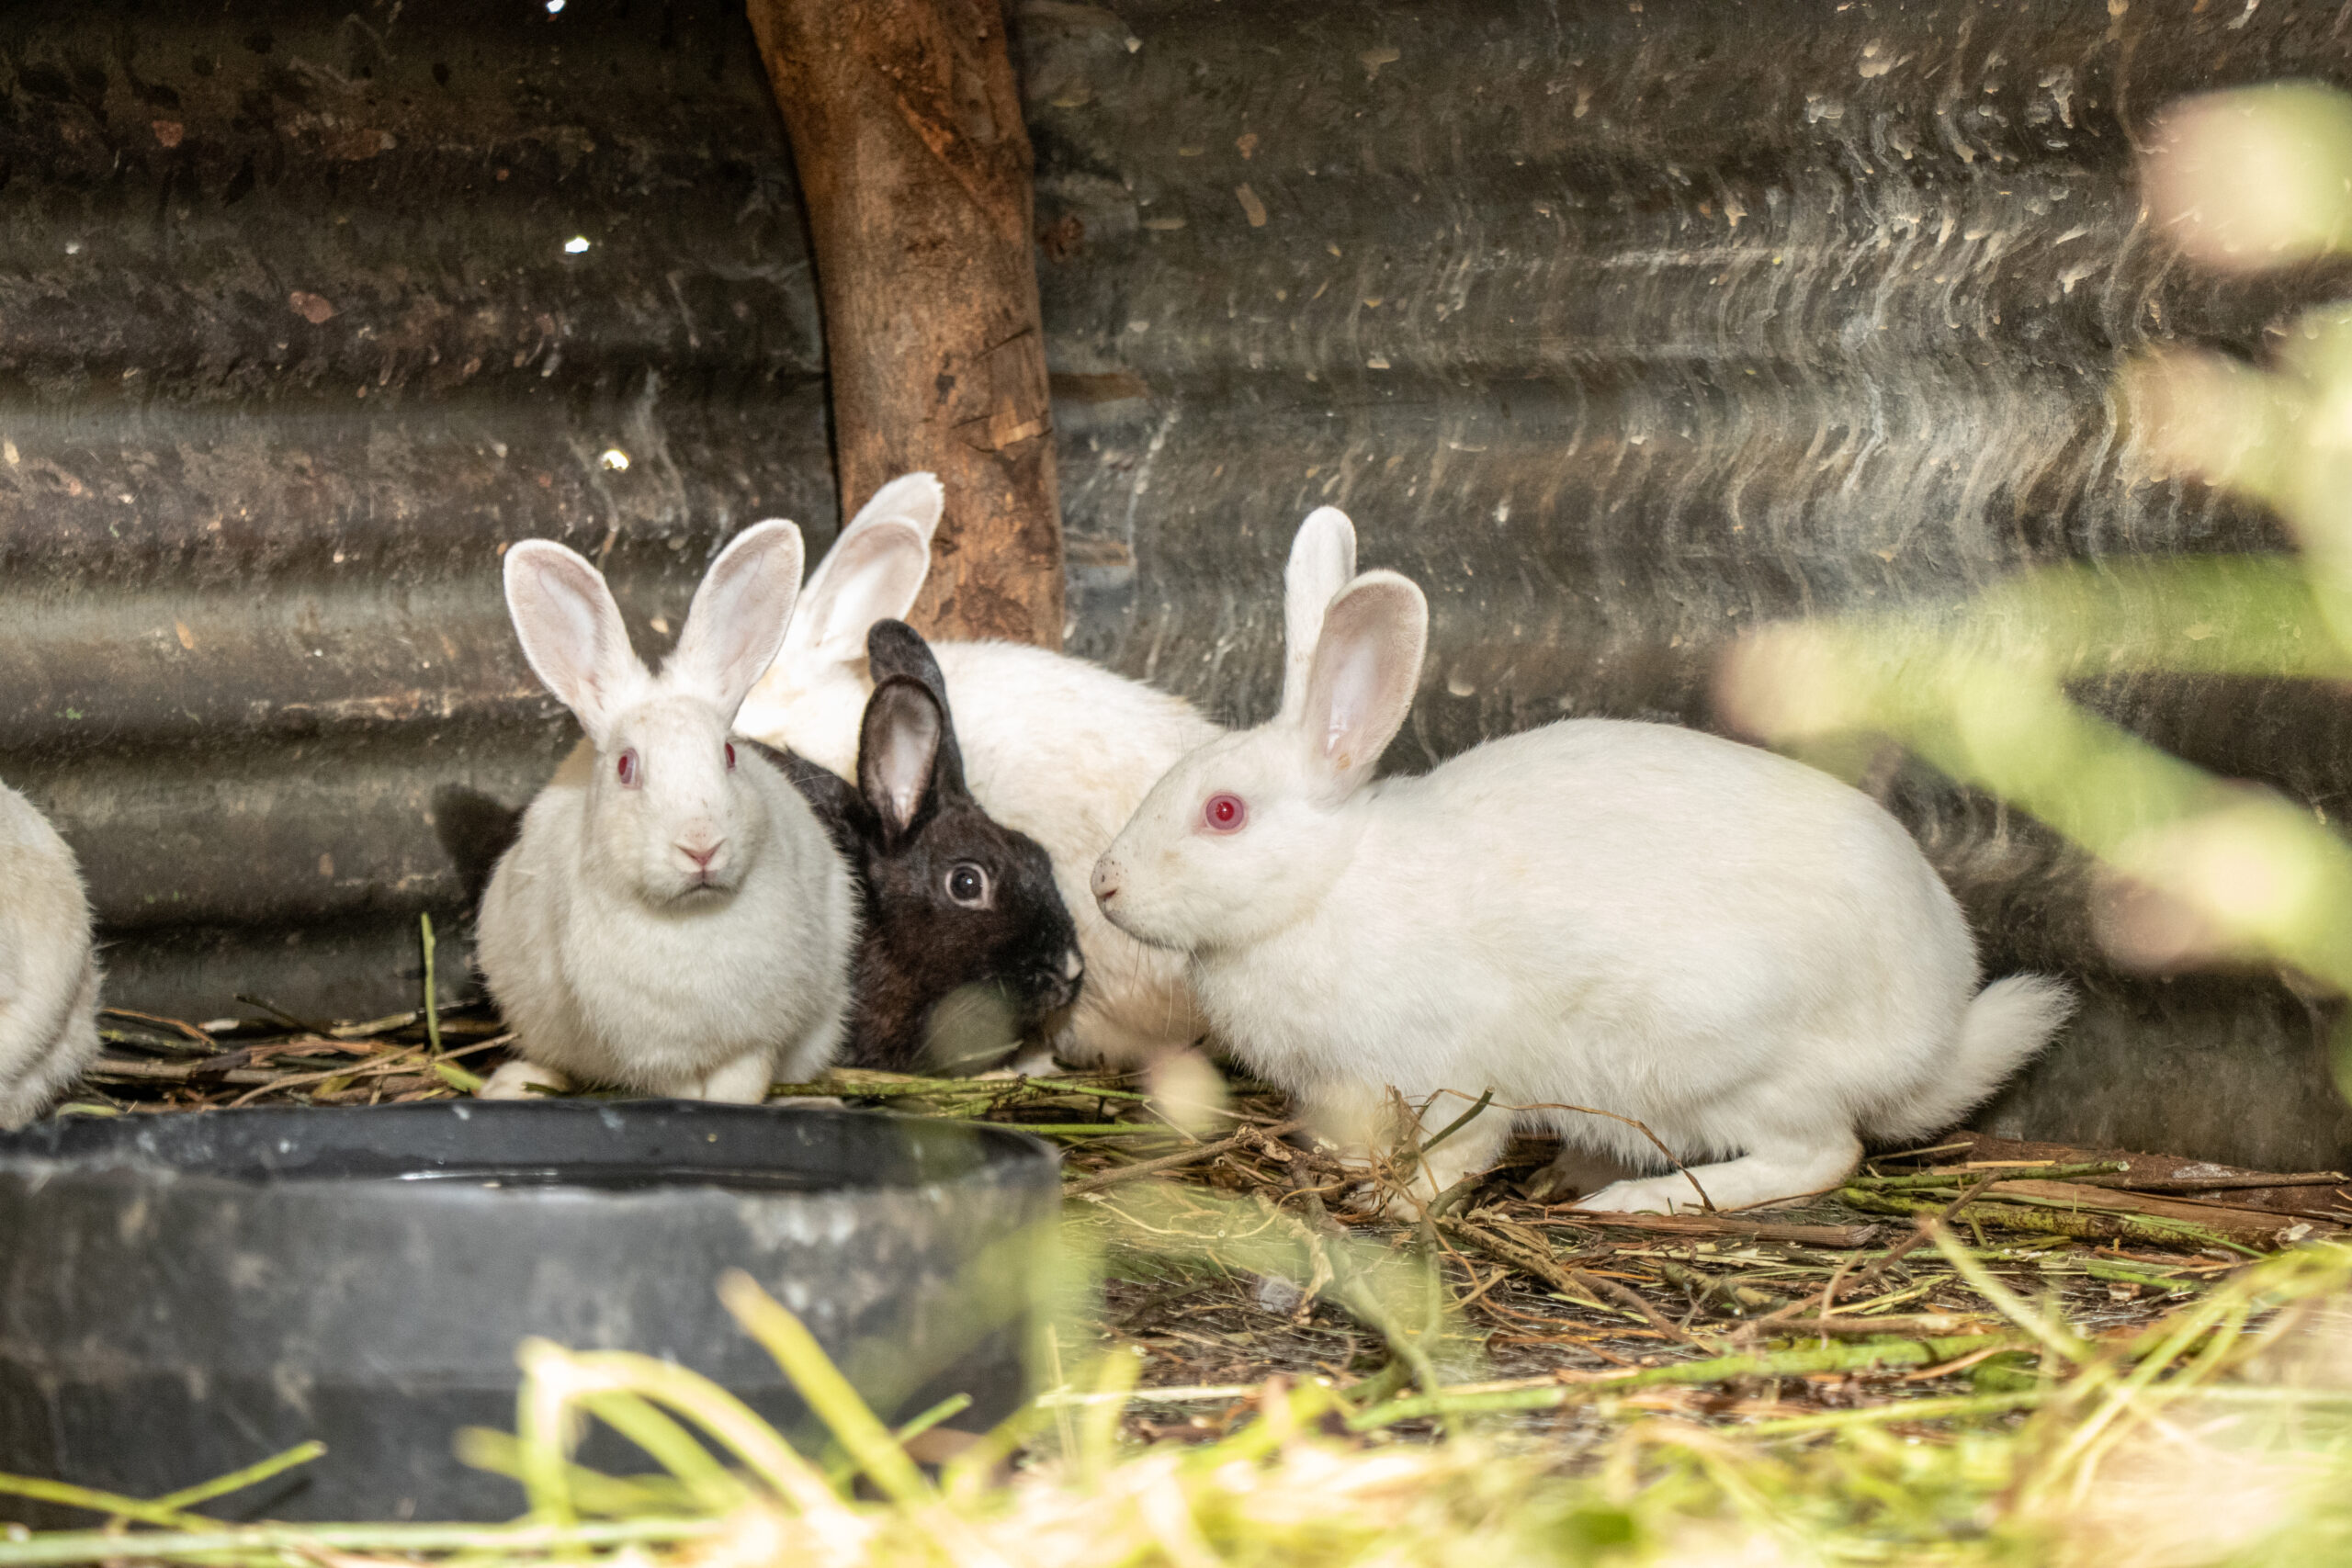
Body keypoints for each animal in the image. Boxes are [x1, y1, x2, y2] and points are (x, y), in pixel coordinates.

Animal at [474, 518, 858, 1102]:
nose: (701, 847)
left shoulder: (755, 1040)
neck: (691, 917)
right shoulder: (653, 1057)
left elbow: (742, 1085)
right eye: (626, 766)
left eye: (728, 755)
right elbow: (677, 1091)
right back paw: (515, 1084)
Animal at [1088, 507, 2075, 1215]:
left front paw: (1398, 1202)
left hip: (1731, 1071)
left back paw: (1639, 1200)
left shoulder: (1456, 1068)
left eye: (1224, 813)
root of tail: (1936, 1039)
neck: (1329, 885)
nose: (1103, 884)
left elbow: (1455, 1150)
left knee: (1823, 1155)